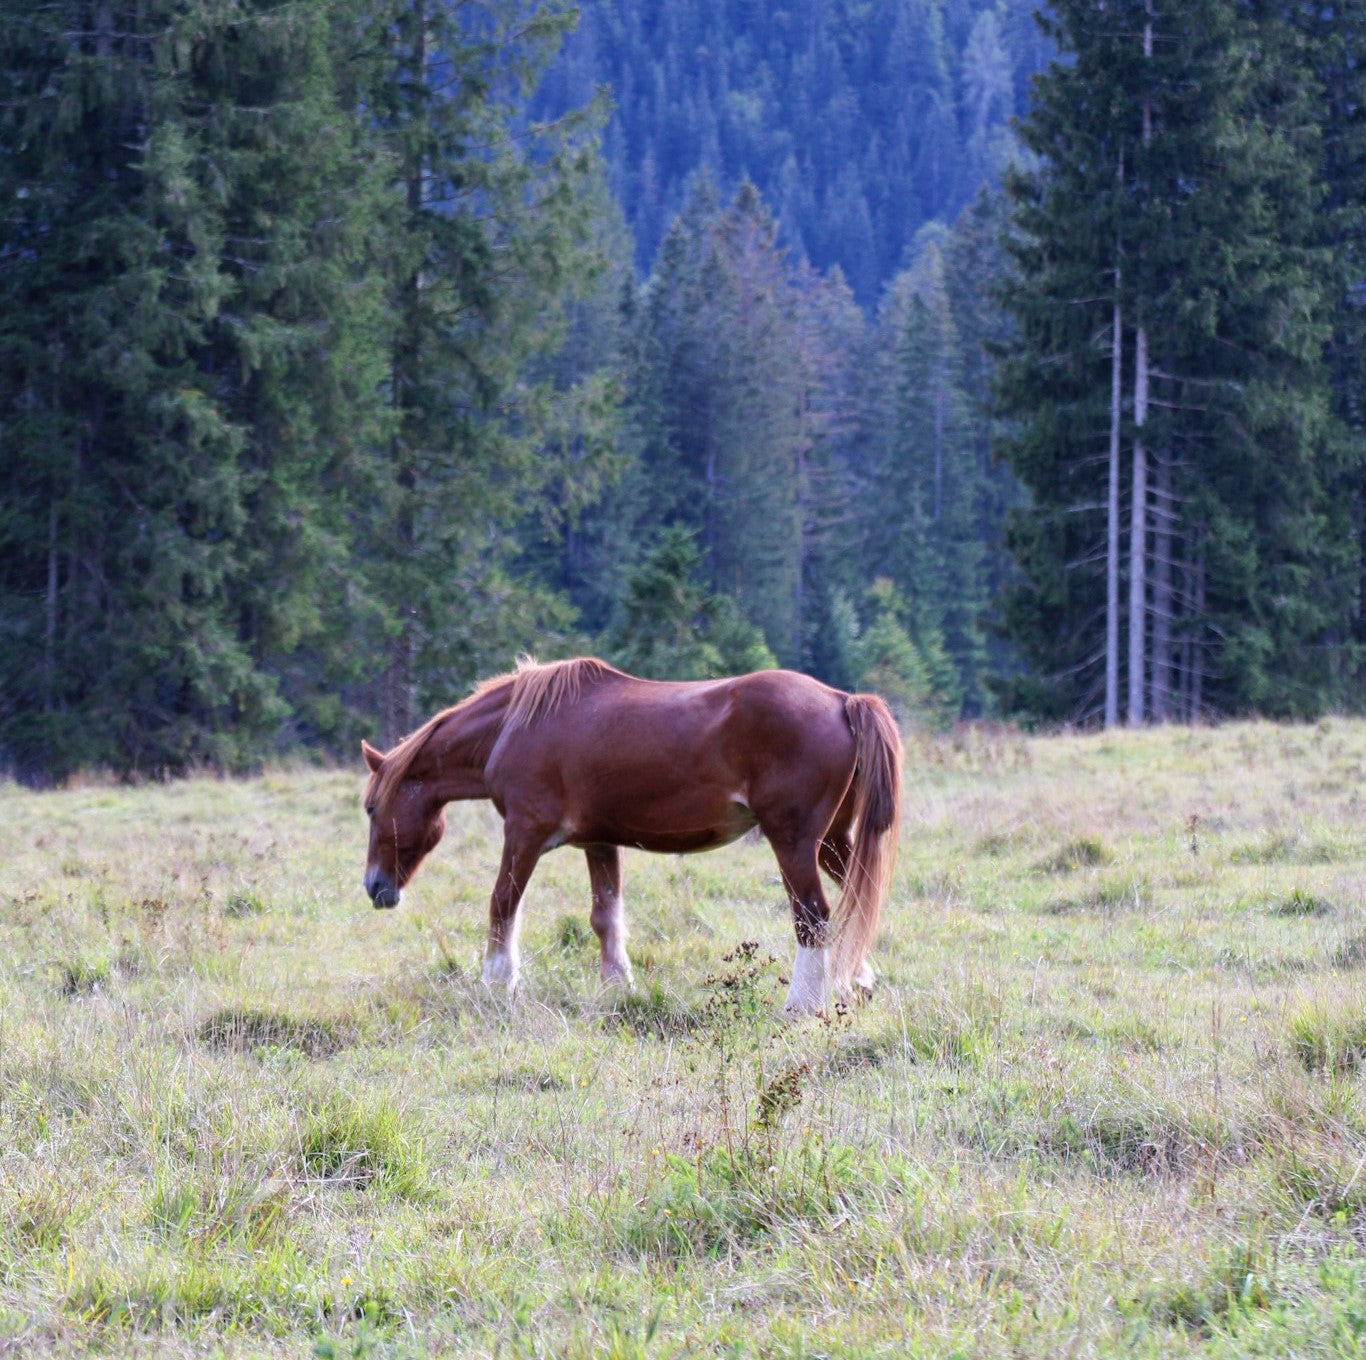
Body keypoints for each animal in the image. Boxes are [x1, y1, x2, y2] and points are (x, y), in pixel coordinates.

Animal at [357, 658, 901, 1010]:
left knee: (813, 917)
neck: (514, 727)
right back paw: (857, 981)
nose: (374, 887)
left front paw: (497, 981)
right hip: (831, 842)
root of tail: (842, 701)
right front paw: (618, 986)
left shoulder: (525, 832)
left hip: (793, 843)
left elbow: (501, 904)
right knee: (856, 898)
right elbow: (605, 917)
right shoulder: (599, 841)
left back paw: (801, 1004)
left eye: (370, 807)